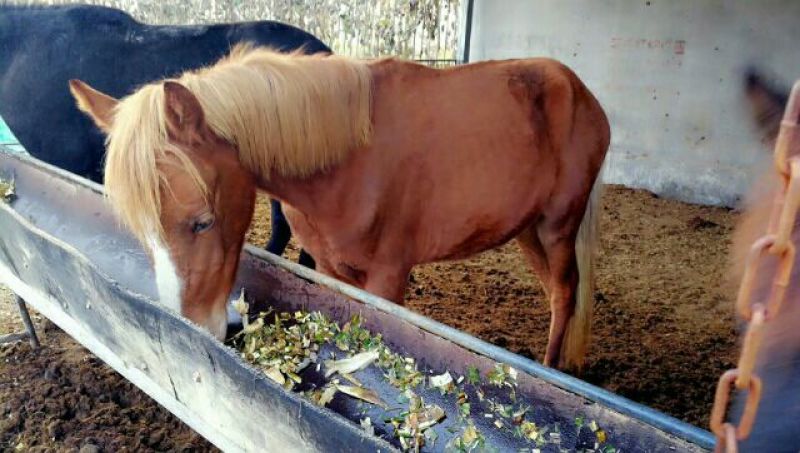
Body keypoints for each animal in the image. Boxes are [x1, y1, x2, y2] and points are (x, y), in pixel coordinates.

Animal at [68, 45, 610, 370]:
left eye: (201, 222)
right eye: (142, 233)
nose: (197, 330)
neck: (350, 157)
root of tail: (577, 88)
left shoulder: (388, 278)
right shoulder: (331, 266)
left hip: (558, 226)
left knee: (565, 292)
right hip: (528, 230)